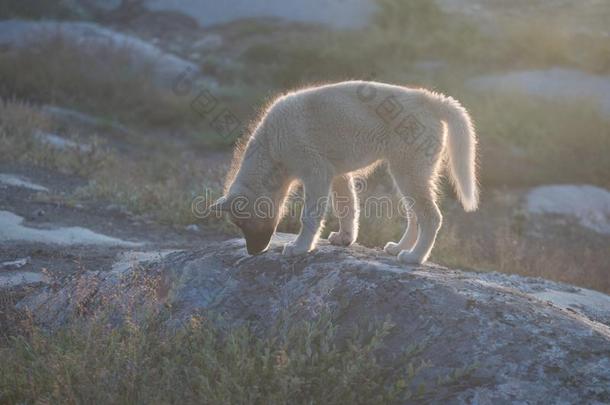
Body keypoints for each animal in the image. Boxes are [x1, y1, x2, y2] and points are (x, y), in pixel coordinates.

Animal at [209, 81, 476, 266]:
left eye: (242, 222)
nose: (253, 252)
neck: (272, 148)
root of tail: (430, 98)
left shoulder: (316, 172)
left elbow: (310, 216)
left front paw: (299, 247)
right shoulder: (337, 174)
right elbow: (347, 207)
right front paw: (345, 238)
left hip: (409, 171)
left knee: (431, 217)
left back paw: (414, 257)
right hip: (406, 172)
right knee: (415, 216)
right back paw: (400, 248)